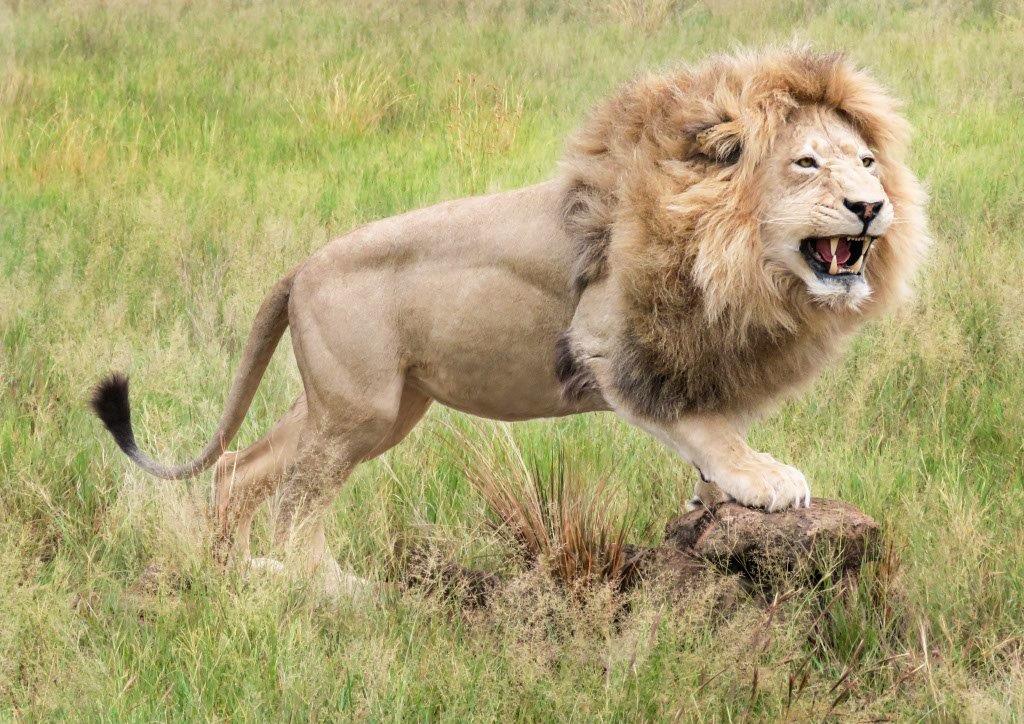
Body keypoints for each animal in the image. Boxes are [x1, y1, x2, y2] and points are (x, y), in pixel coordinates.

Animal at [91, 48, 929, 588]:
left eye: (866, 162)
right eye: (807, 164)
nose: (871, 207)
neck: (735, 255)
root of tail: (302, 267)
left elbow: (710, 425)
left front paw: (714, 501)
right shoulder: (605, 344)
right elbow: (700, 422)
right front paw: (761, 480)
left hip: (367, 403)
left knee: (242, 470)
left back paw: (220, 570)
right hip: (360, 413)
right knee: (298, 504)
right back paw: (329, 589)